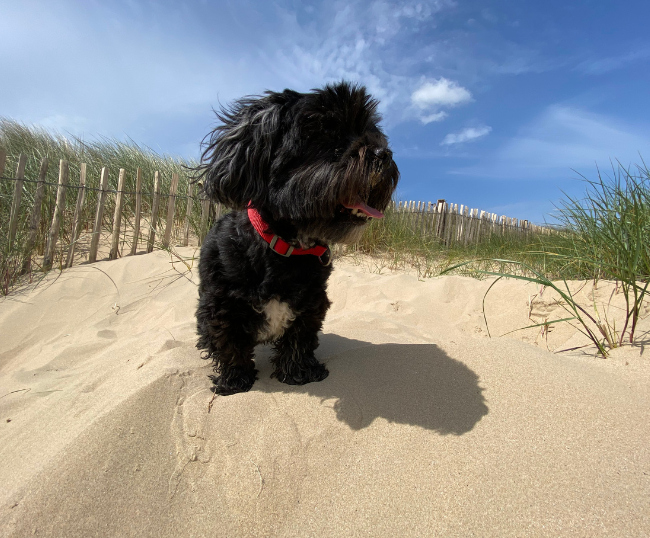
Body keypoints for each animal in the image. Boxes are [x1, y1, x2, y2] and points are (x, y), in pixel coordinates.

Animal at [192, 82, 398, 394]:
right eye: (325, 134)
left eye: (369, 131)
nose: (382, 153)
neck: (285, 249)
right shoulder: (220, 307)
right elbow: (229, 344)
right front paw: (234, 380)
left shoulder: (312, 302)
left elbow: (299, 340)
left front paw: (299, 373)